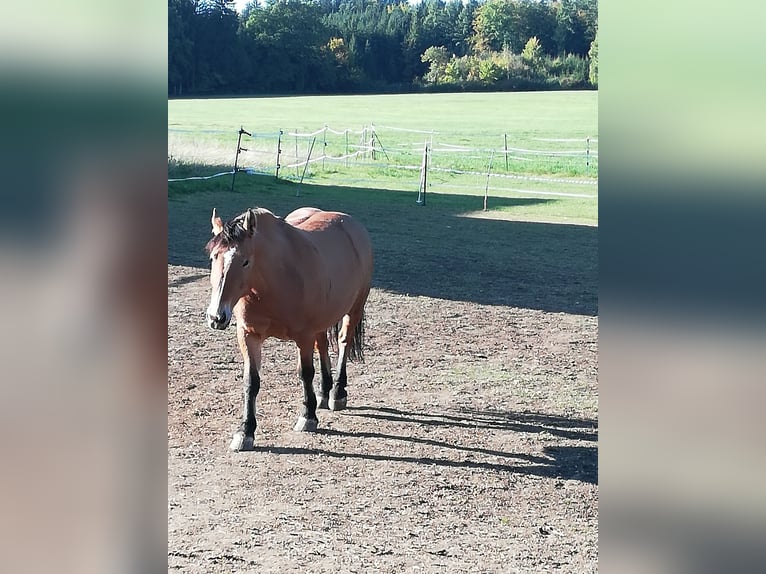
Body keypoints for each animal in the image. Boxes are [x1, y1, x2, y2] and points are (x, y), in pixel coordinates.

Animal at [202, 207, 374, 454]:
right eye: (213, 257)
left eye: (245, 262)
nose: (217, 317)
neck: (273, 280)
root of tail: (350, 223)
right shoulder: (248, 335)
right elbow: (251, 382)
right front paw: (245, 432)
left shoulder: (303, 336)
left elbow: (305, 373)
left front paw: (308, 416)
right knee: (323, 345)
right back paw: (323, 392)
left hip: (355, 308)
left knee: (343, 342)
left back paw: (337, 393)